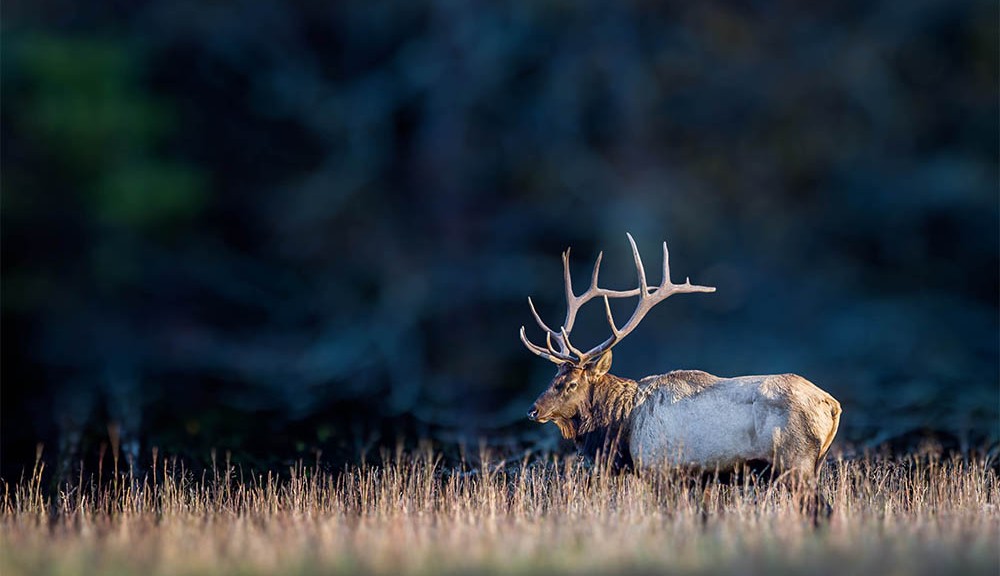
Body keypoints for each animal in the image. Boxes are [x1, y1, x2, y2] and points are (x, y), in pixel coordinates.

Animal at [520, 234, 840, 482]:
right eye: (554, 376)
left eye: (571, 383)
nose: (533, 410)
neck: (622, 428)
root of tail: (832, 405)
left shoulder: (660, 469)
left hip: (795, 461)